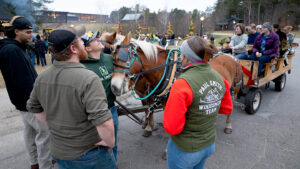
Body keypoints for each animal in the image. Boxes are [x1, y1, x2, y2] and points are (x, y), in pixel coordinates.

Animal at [105, 32, 244, 137]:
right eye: (112, 57)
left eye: (124, 56)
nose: (114, 87)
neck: (167, 71)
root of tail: (230, 56)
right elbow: (148, 110)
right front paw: (149, 127)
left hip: (234, 89)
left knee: (231, 107)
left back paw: (228, 125)